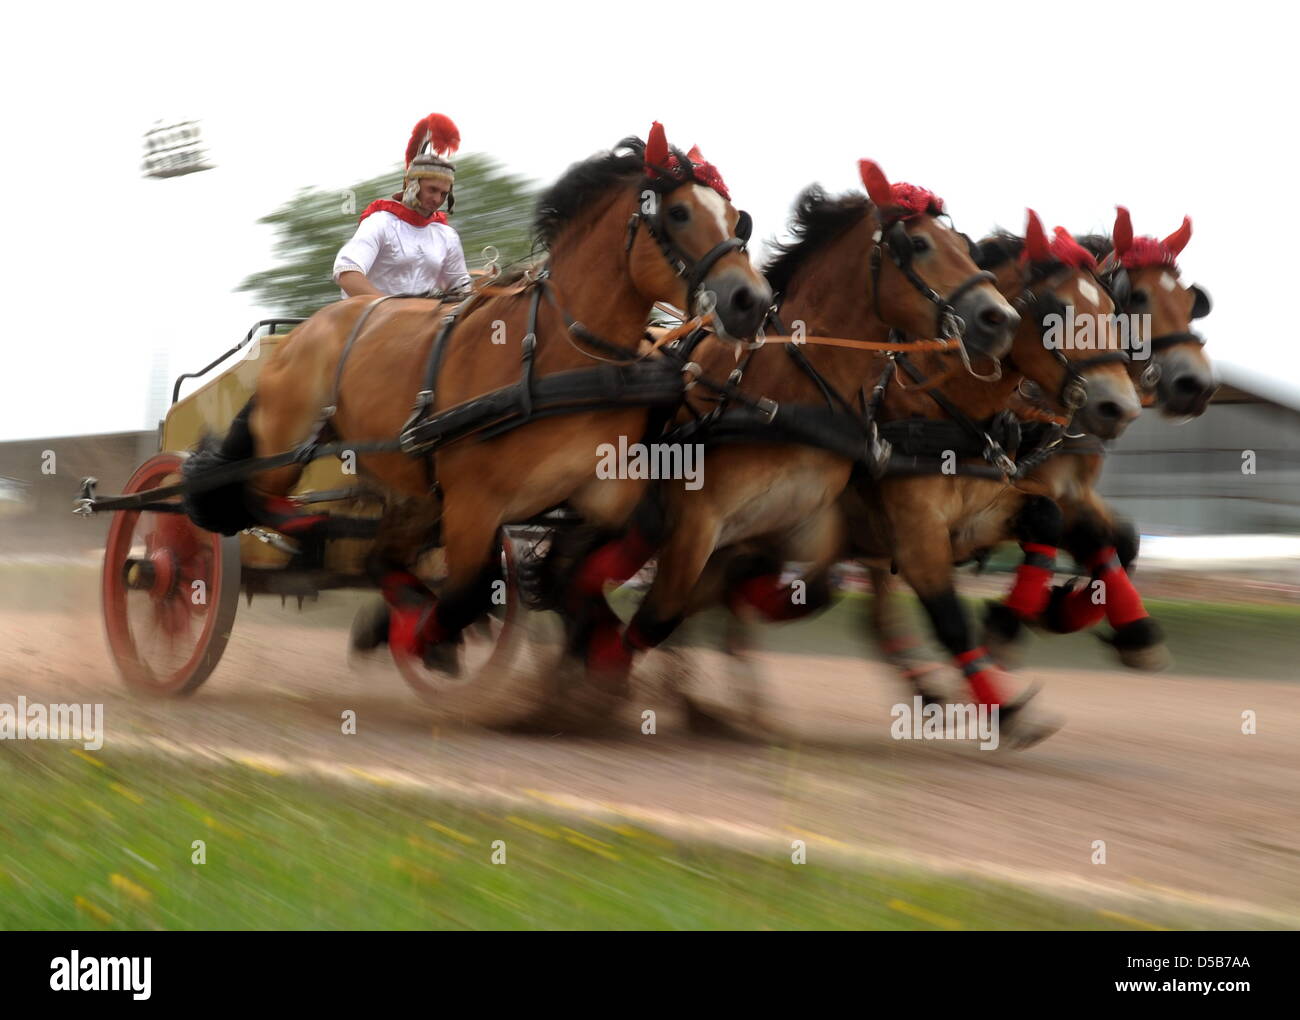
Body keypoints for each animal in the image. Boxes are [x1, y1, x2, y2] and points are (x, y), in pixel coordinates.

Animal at [184, 125, 769, 670]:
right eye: (678, 213)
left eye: (736, 218)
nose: (753, 302)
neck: (559, 352)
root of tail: (297, 336)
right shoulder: (473, 504)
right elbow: (468, 592)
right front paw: (423, 636)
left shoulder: (604, 489)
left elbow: (621, 547)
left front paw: (593, 635)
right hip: (288, 447)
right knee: (256, 497)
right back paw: (306, 536)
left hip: (408, 488)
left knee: (377, 557)